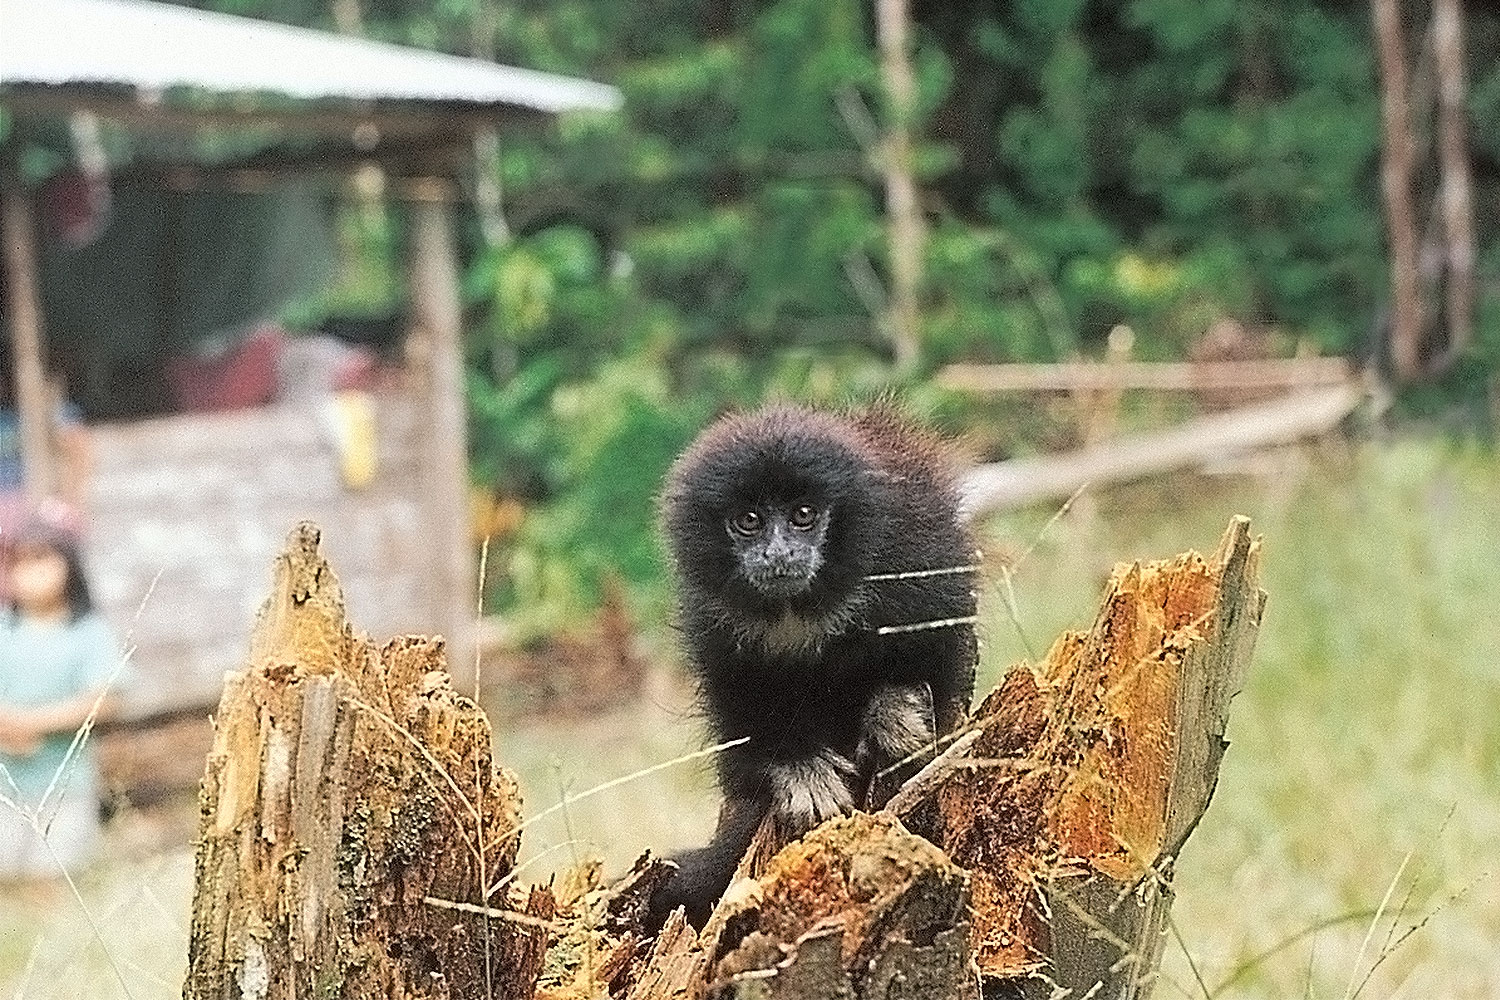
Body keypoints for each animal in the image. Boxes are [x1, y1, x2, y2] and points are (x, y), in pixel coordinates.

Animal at [651, 401, 978, 929]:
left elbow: (942, 650)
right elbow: (738, 715)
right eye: (749, 520)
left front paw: (894, 711)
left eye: (803, 515)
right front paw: (798, 767)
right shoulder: (710, 619)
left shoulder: (916, 553)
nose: (779, 552)